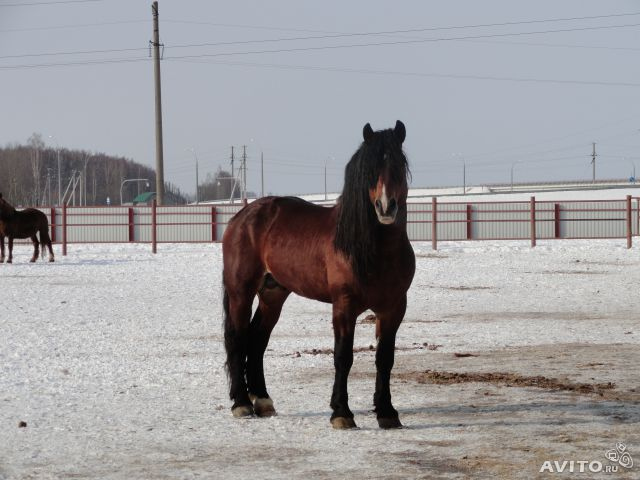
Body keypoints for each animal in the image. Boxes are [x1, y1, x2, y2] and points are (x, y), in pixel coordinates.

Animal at [224, 120, 416, 428]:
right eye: (370, 169)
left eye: (398, 164)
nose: (386, 207)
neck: (375, 252)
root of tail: (243, 216)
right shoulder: (344, 306)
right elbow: (343, 357)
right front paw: (341, 413)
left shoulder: (394, 308)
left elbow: (385, 359)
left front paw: (387, 412)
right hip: (240, 291)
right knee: (237, 338)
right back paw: (241, 404)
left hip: (272, 294)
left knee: (257, 340)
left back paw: (263, 401)